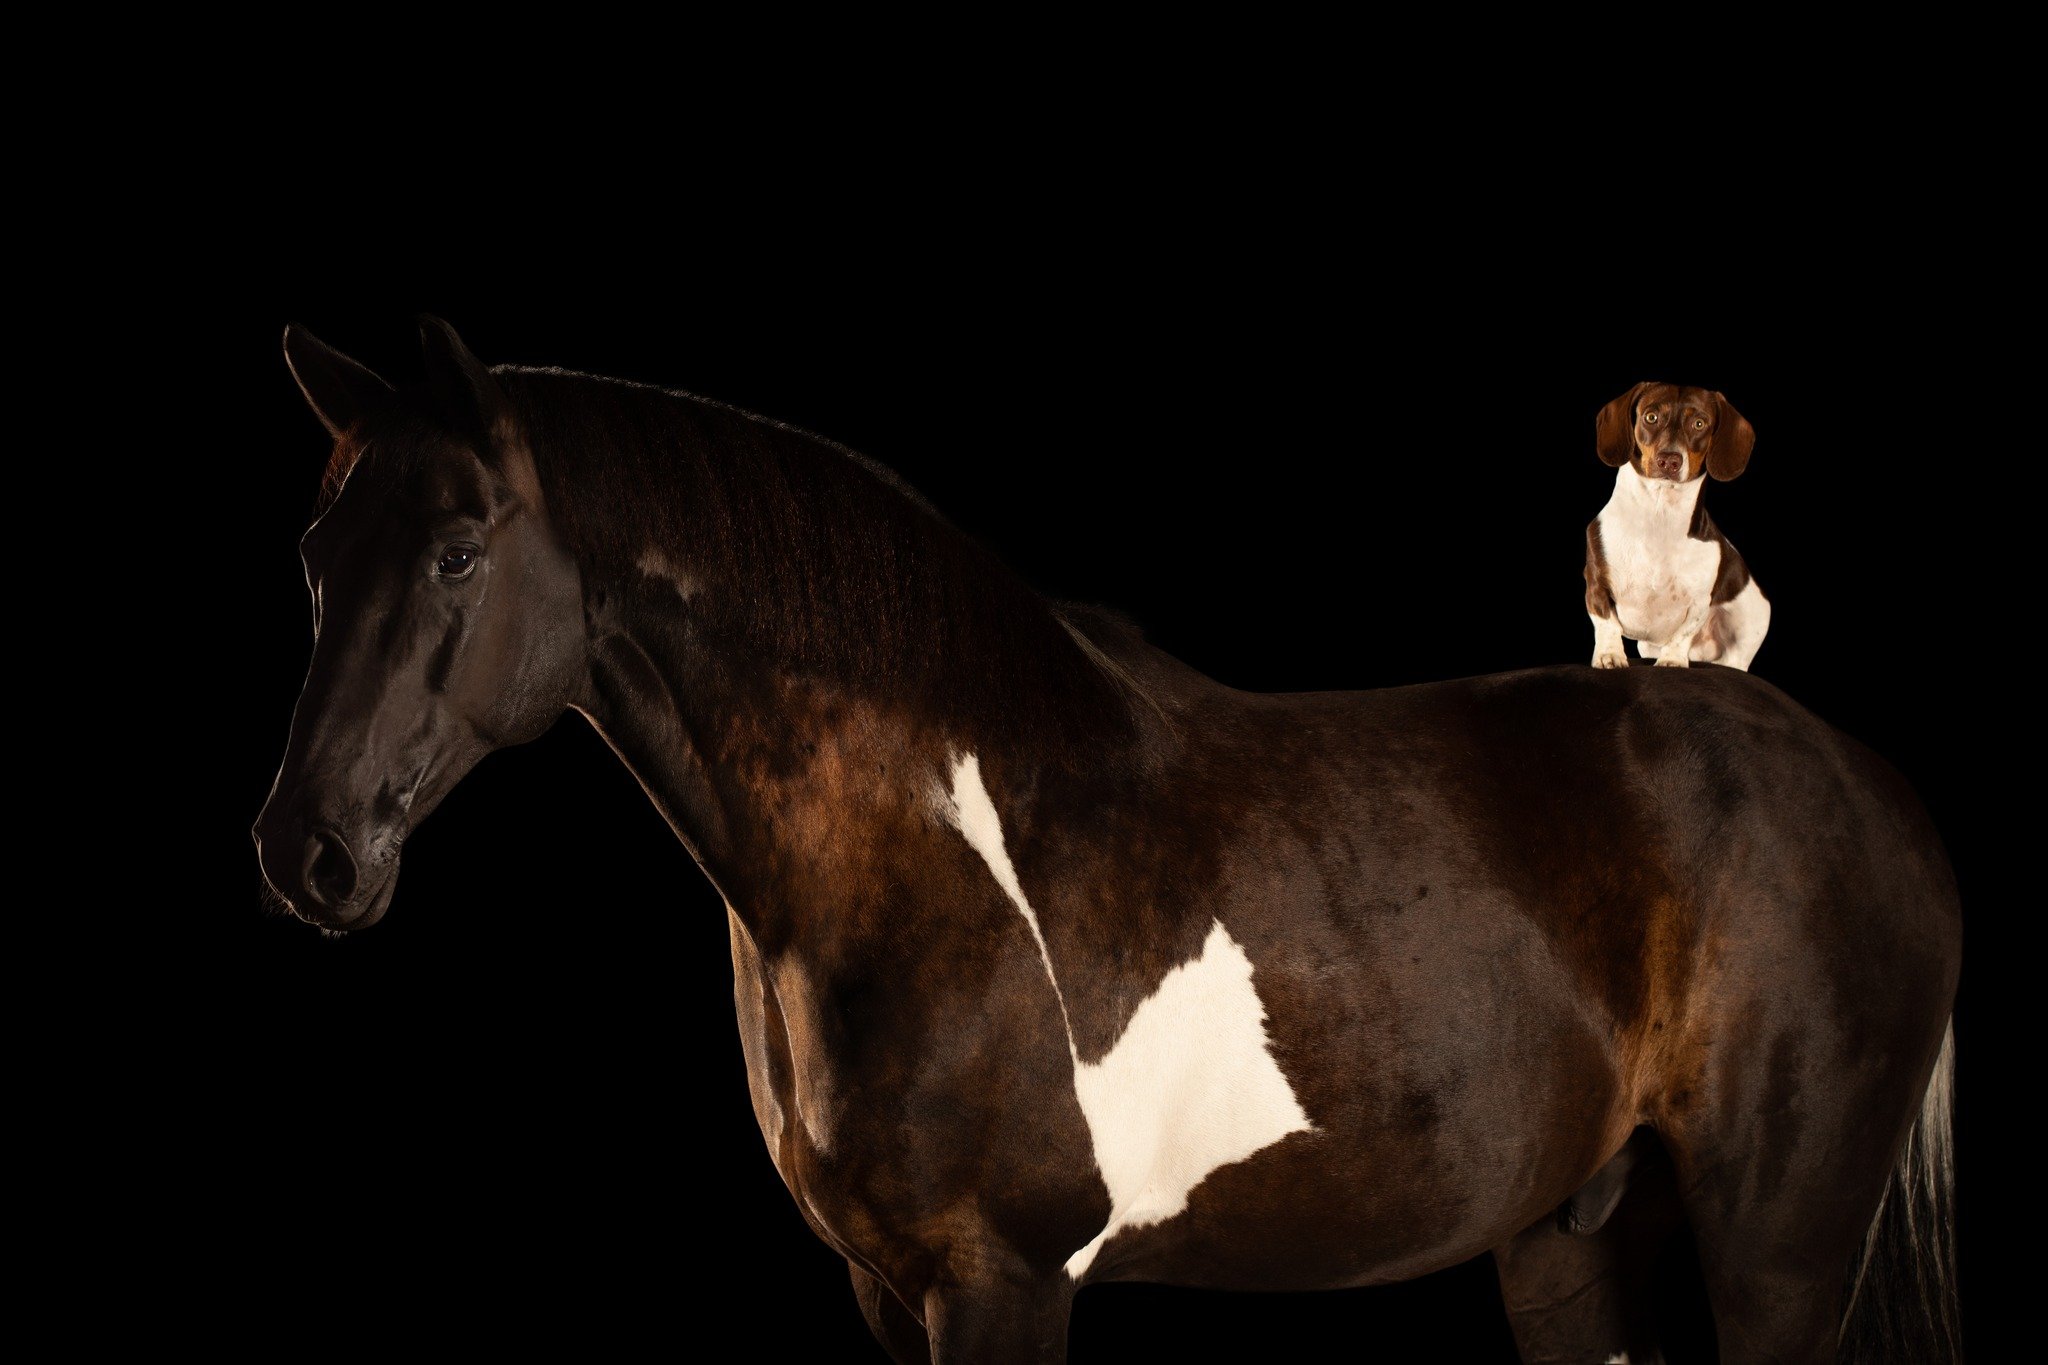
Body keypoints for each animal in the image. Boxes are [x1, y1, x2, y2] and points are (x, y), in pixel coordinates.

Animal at [1581, 382, 1777, 671]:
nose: (1669, 461)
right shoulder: (1596, 585)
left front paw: (1672, 660)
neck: (1659, 515)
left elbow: (1682, 634)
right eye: (1651, 417)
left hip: (1749, 622)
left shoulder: (1699, 603)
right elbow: (1606, 624)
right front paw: (1610, 655)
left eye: (1699, 423)